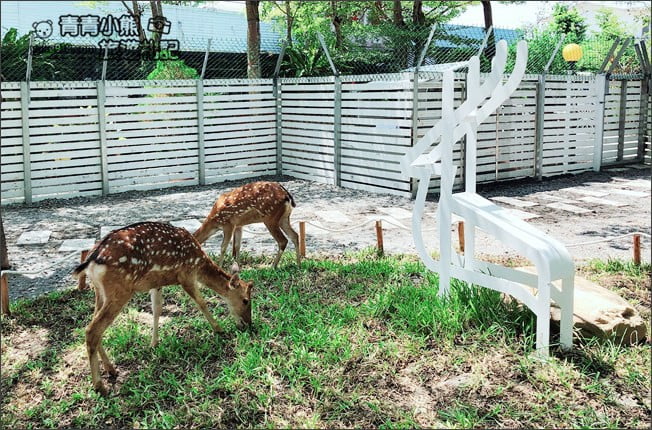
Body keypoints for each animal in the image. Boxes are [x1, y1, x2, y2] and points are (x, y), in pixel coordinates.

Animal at [73, 221, 253, 396]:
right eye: (246, 300)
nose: (248, 324)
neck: (198, 263)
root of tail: (90, 262)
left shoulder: (157, 283)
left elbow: (157, 309)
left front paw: (153, 344)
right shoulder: (186, 275)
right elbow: (201, 303)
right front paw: (219, 329)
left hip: (100, 292)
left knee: (93, 327)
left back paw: (111, 369)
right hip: (120, 290)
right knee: (92, 330)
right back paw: (100, 387)